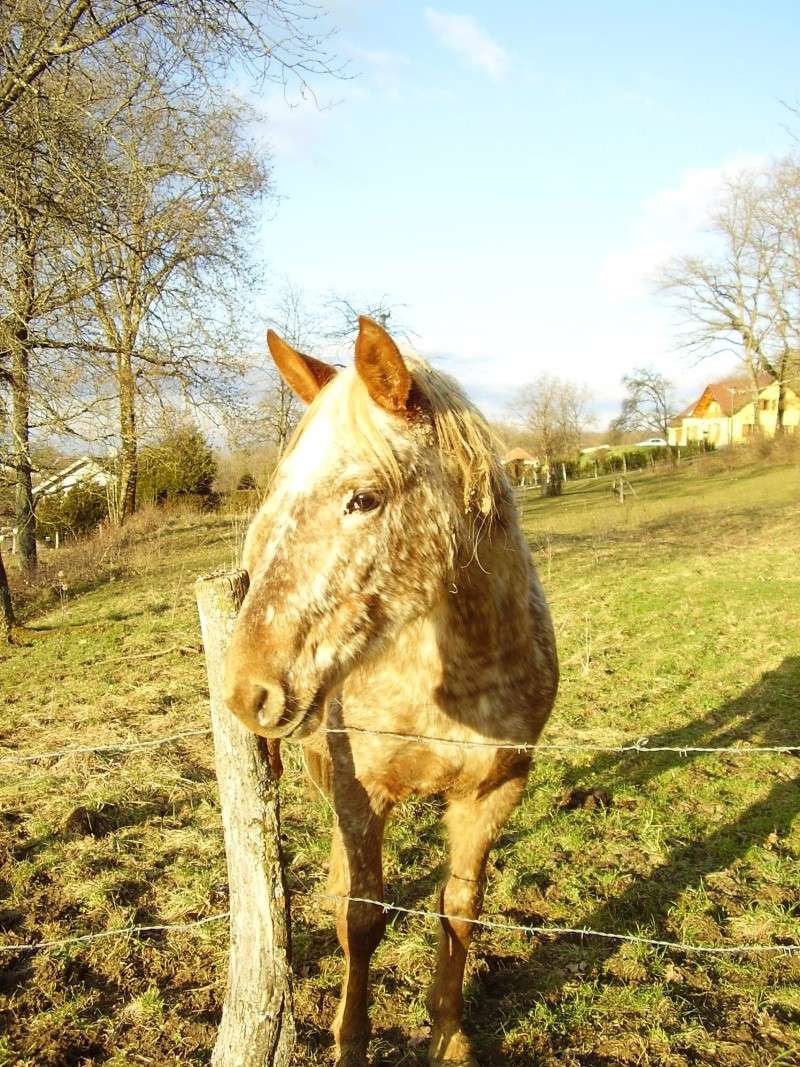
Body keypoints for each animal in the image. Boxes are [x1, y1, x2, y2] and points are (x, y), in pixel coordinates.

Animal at [226, 315, 558, 1067]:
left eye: (364, 498)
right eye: (281, 491)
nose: (246, 691)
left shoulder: (495, 790)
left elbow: (460, 906)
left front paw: (448, 1033)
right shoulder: (362, 793)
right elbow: (363, 917)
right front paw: (350, 1040)